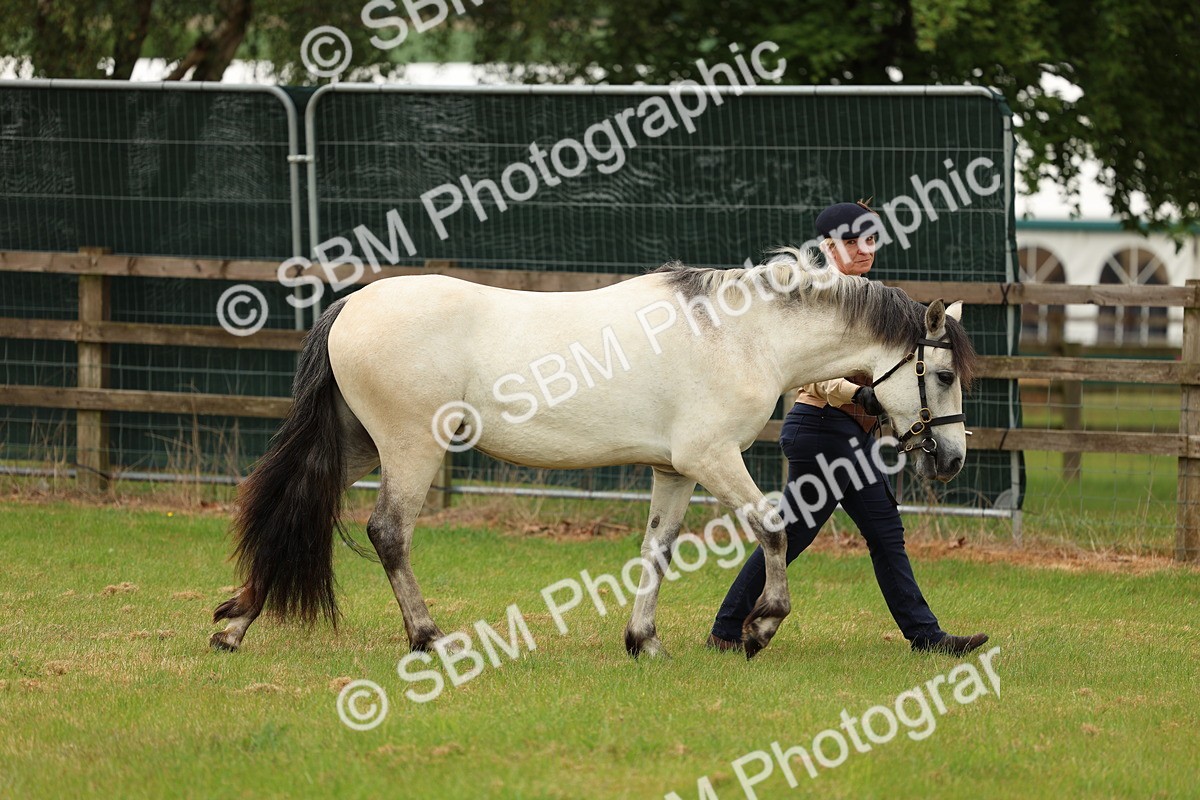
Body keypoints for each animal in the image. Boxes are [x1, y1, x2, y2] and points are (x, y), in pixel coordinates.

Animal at [210, 248, 977, 660]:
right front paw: (760, 627)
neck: (741, 333)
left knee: (295, 512)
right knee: (387, 533)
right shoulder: (711, 457)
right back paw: (430, 638)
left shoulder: (674, 470)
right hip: (409, 448)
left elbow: (657, 550)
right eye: (942, 374)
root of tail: (352, 306)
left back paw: (235, 626)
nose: (950, 458)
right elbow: (772, 526)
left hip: (356, 445)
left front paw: (645, 641)